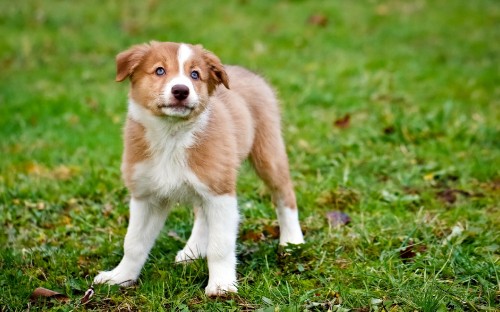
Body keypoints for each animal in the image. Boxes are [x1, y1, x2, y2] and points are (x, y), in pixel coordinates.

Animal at [94, 40, 304, 294]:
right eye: (159, 70)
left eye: (195, 74)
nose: (181, 91)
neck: (171, 136)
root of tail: (247, 72)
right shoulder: (146, 196)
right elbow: (133, 243)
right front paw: (120, 277)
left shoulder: (221, 193)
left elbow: (220, 246)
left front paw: (221, 285)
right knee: (202, 214)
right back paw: (192, 251)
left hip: (267, 154)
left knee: (285, 194)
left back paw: (292, 241)